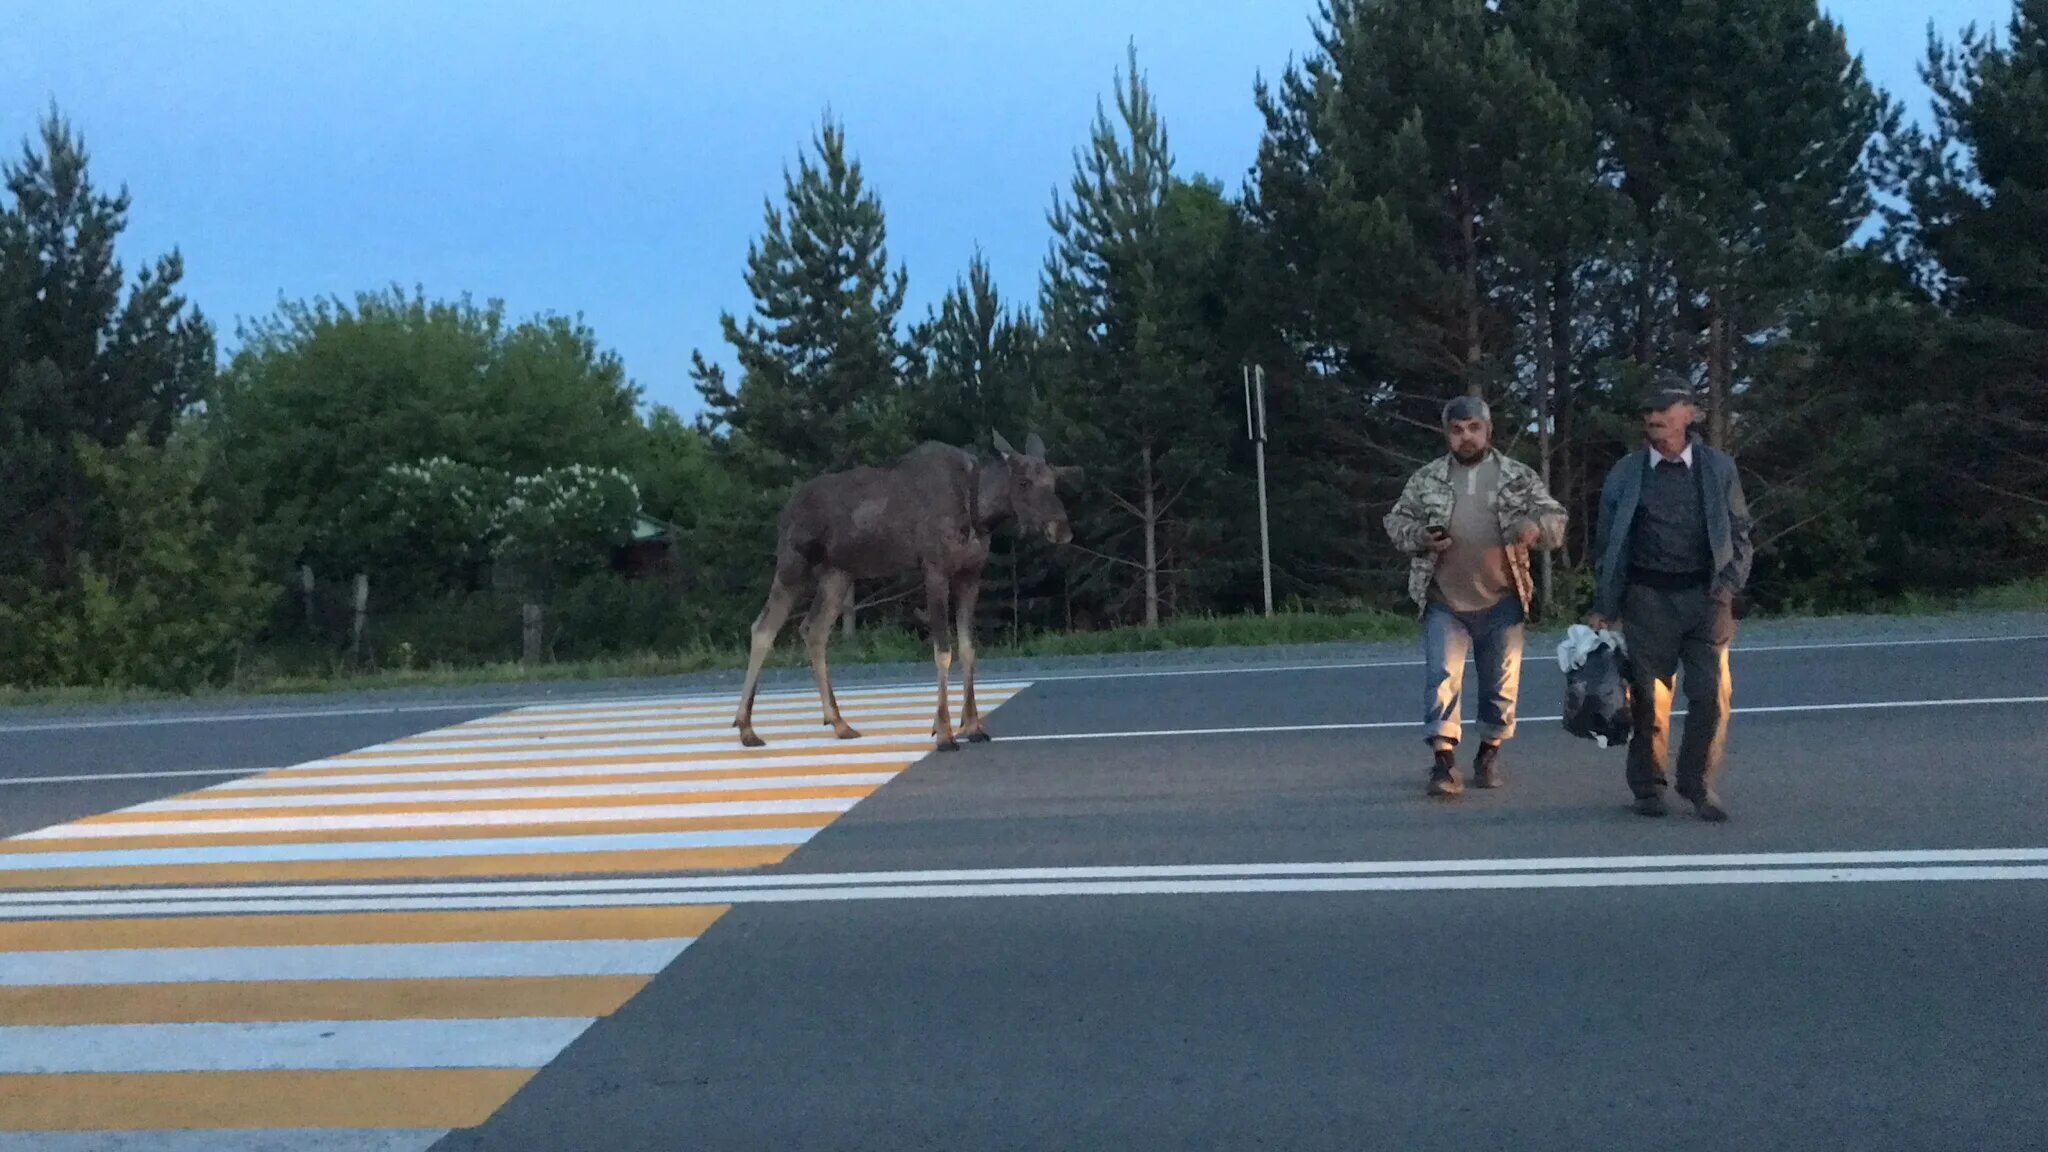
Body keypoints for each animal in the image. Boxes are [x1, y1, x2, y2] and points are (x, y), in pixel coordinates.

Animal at [737, 434, 1089, 750]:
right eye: (1024, 482)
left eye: (1053, 481)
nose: (1062, 530)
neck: (978, 513)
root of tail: (785, 511)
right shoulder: (934, 570)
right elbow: (943, 651)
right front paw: (945, 732)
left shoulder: (970, 575)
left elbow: (969, 649)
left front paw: (972, 726)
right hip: (793, 563)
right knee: (764, 627)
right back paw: (746, 727)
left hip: (838, 574)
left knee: (813, 630)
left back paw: (839, 722)